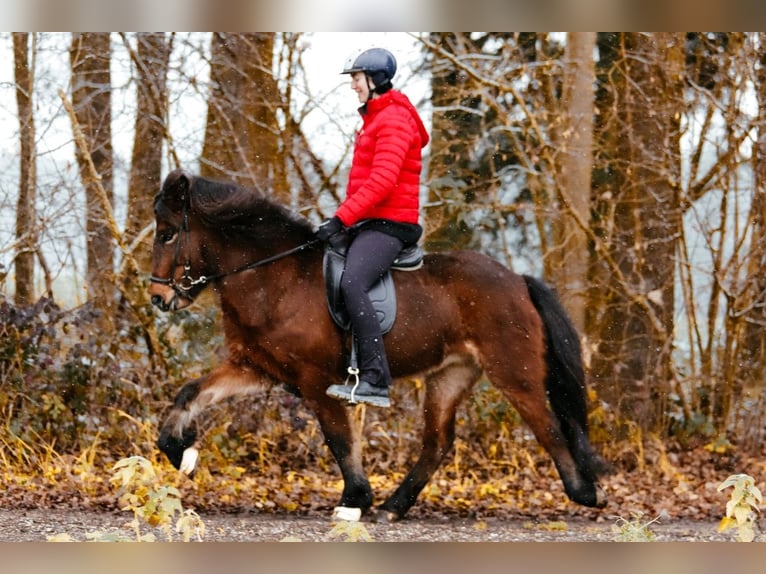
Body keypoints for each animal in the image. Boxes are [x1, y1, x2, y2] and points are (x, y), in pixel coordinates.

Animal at [149, 169, 609, 521]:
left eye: (168, 234)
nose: (158, 298)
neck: (275, 278)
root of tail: (518, 280)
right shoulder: (256, 367)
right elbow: (190, 393)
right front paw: (180, 454)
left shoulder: (316, 380)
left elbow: (339, 439)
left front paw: (354, 500)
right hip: (450, 374)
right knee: (438, 443)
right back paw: (394, 507)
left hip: (514, 373)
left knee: (549, 427)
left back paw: (586, 493)